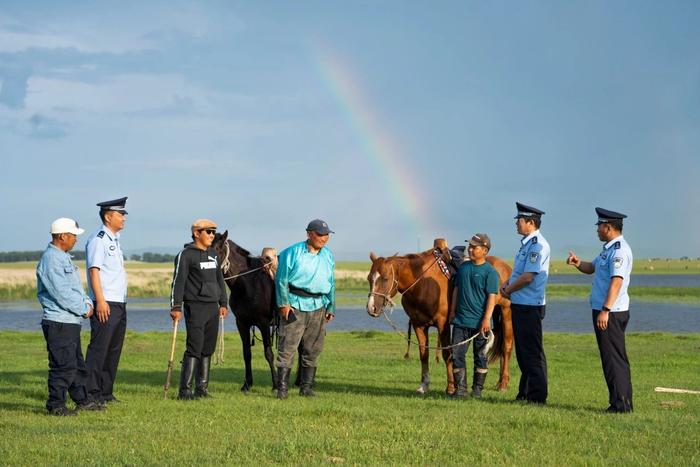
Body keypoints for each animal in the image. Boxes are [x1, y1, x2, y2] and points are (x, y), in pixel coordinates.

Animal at [212, 233, 278, 392]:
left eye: (217, 248)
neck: (247, 283)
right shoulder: (242, 323)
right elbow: (247, 353)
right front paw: (247, 384)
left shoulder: (263, 324)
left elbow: (269, 354)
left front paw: (276, 384)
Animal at [366, 241, 516, 394]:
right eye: (369, 278)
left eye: (385, 278)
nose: (371, 308)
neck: (422, 283)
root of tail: (506, 267)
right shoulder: (418, 324)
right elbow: (424, 354)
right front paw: (424, 385)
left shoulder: (443, 323)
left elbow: (447, 354)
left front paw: (451, 387)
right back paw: (499, 382)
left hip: (506, 311)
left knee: (506, 347)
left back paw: (503, 384)